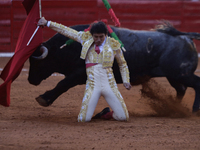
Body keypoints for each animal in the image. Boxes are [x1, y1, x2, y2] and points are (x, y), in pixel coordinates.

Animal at [28, 22, 200, 112]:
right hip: (174, 76)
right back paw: (175, 108)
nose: (30, 80)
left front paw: (44, 99)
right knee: (181, 89)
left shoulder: (78, 74)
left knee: (195, 84)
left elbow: (62, 84)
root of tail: (185, 37)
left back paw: (194, 110)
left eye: (37, 62)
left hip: (181, 74)